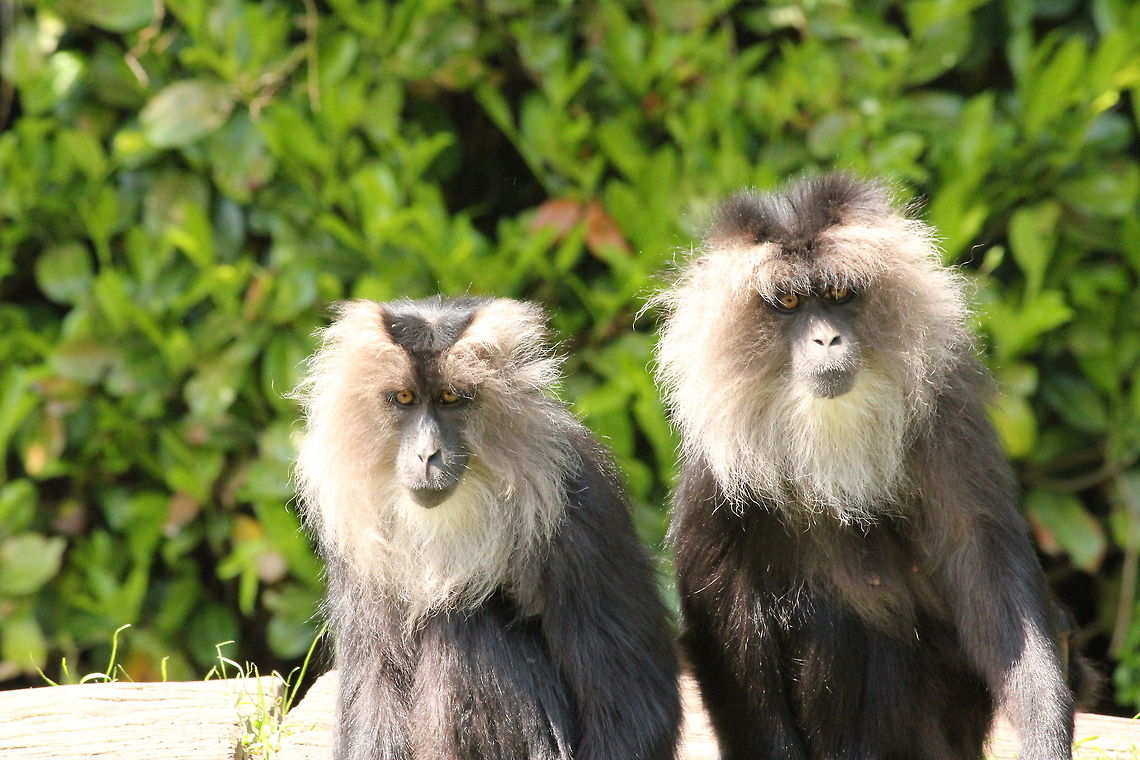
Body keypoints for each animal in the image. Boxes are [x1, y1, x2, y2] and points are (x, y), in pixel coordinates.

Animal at [292, 296, 680, 760]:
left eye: (450, 398)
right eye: (404, 398)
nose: (426, 454)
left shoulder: (583, 500)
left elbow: (635, 701)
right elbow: (374, 680)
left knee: (464, 622)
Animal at [653, 173, 1086, 760]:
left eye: (838, 295)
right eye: (789, 301)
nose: (826, 338)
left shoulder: (947, 417)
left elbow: (983, 561)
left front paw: (1045, 736)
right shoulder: (714, 462)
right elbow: (725, 615)